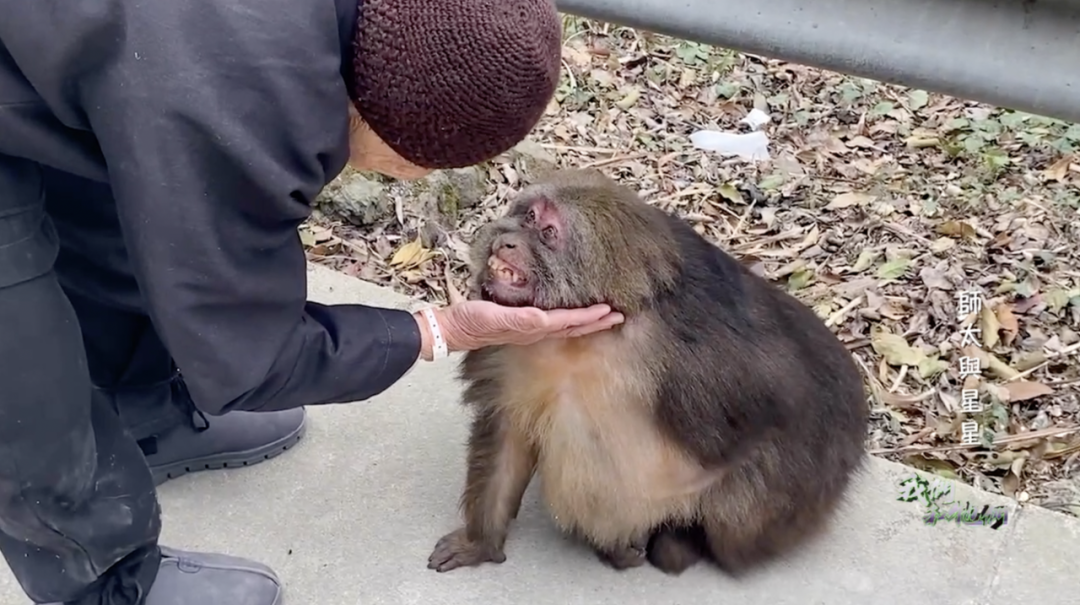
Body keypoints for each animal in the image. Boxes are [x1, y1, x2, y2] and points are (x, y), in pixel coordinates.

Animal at [423, 166, 868, 574]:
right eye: (529, 216)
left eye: (548, 233)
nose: (507, 239)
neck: (580, 339)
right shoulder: (509, 341)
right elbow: (508, 432)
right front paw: (480, 543)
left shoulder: (699, 351)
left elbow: (795, 401)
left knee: (745, 504)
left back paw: (675, 541)